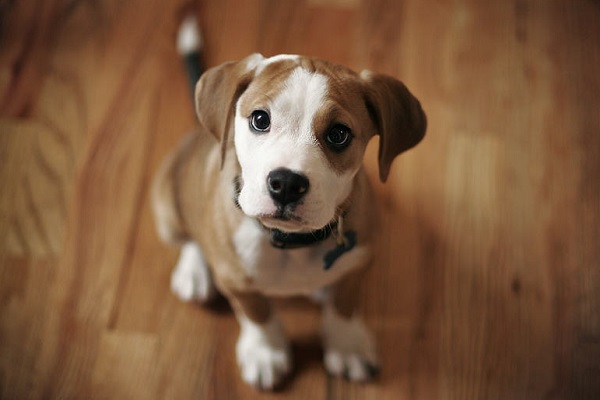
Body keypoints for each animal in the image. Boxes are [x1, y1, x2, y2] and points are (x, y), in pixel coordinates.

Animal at [154, 53, 426, 390]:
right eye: (260, 120)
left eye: (339, 134)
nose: (285, 183)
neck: (291, 242)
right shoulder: (236, 280)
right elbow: (257, 314)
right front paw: (265, 353)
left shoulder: (357, 263)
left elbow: (344, 305)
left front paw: (348, 347)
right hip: (166, 204)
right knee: (188, 238)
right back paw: (193, 273)